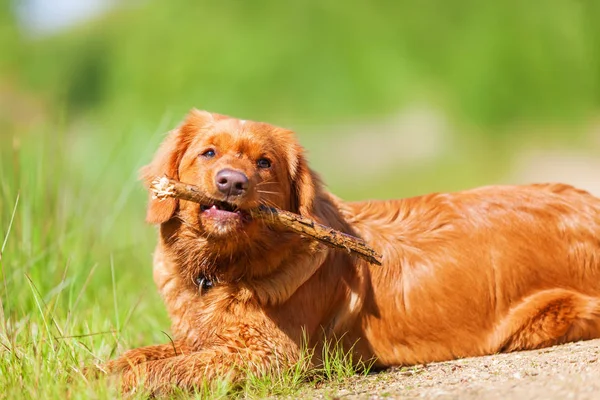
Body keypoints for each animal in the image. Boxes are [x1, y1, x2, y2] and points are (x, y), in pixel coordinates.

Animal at [101, 109, 600, 394]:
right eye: (208, 153)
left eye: (264, 162)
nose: (232, 182)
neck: (223, 267)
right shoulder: (201, 339)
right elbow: (142, 355)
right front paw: (94, 371)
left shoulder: (267, 356)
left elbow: (164, 370)